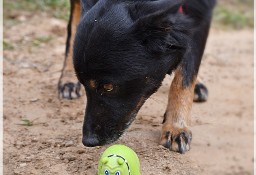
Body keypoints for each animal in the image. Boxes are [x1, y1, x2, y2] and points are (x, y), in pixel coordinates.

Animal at [58, 0, 216, 153]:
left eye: (108, 87)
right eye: (83, 84)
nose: (88, 141)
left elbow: (186, 76)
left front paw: (176, 126)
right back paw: (67, 80)